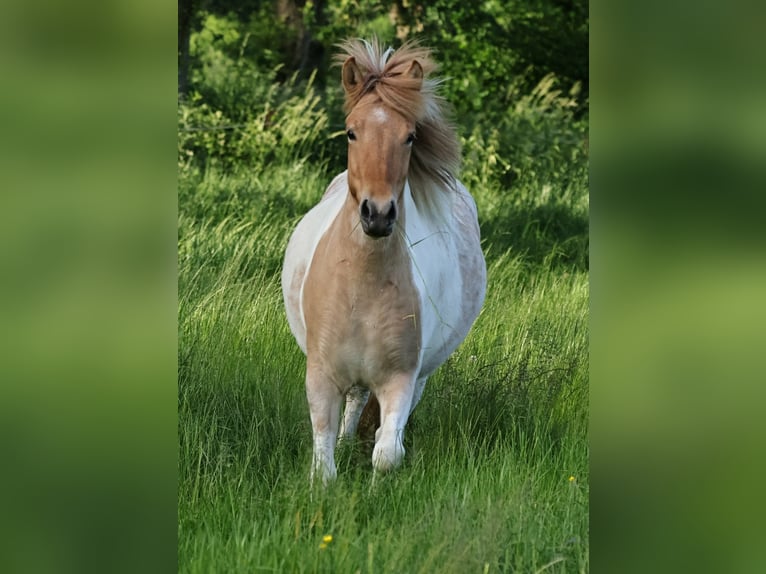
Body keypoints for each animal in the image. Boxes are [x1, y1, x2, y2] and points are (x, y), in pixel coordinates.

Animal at [282, 38, 486, 484]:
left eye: (409, 136)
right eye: (351, 131)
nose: (377, 214)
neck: (362, 284)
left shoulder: (400, 379)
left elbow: (387, 452)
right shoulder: (320, 376)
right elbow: (323, 462)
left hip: (421, 373)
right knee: (356, 402)